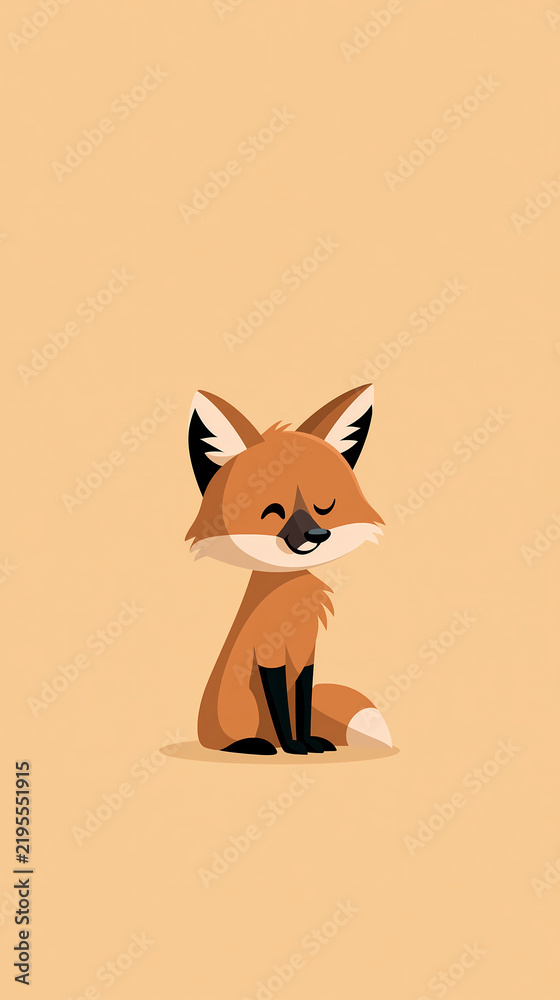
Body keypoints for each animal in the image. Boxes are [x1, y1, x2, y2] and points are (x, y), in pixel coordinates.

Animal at [186, 383, 392, 755]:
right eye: (273, 511)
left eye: (324, 506)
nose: (317, 535)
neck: (290, 598)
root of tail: (203, 729)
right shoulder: (269, 654)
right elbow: (282, 706)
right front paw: (292, 746)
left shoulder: (307, 653)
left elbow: (302, 705)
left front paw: (307, 741)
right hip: (239, 708)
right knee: (234, 738)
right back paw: (255, 745)